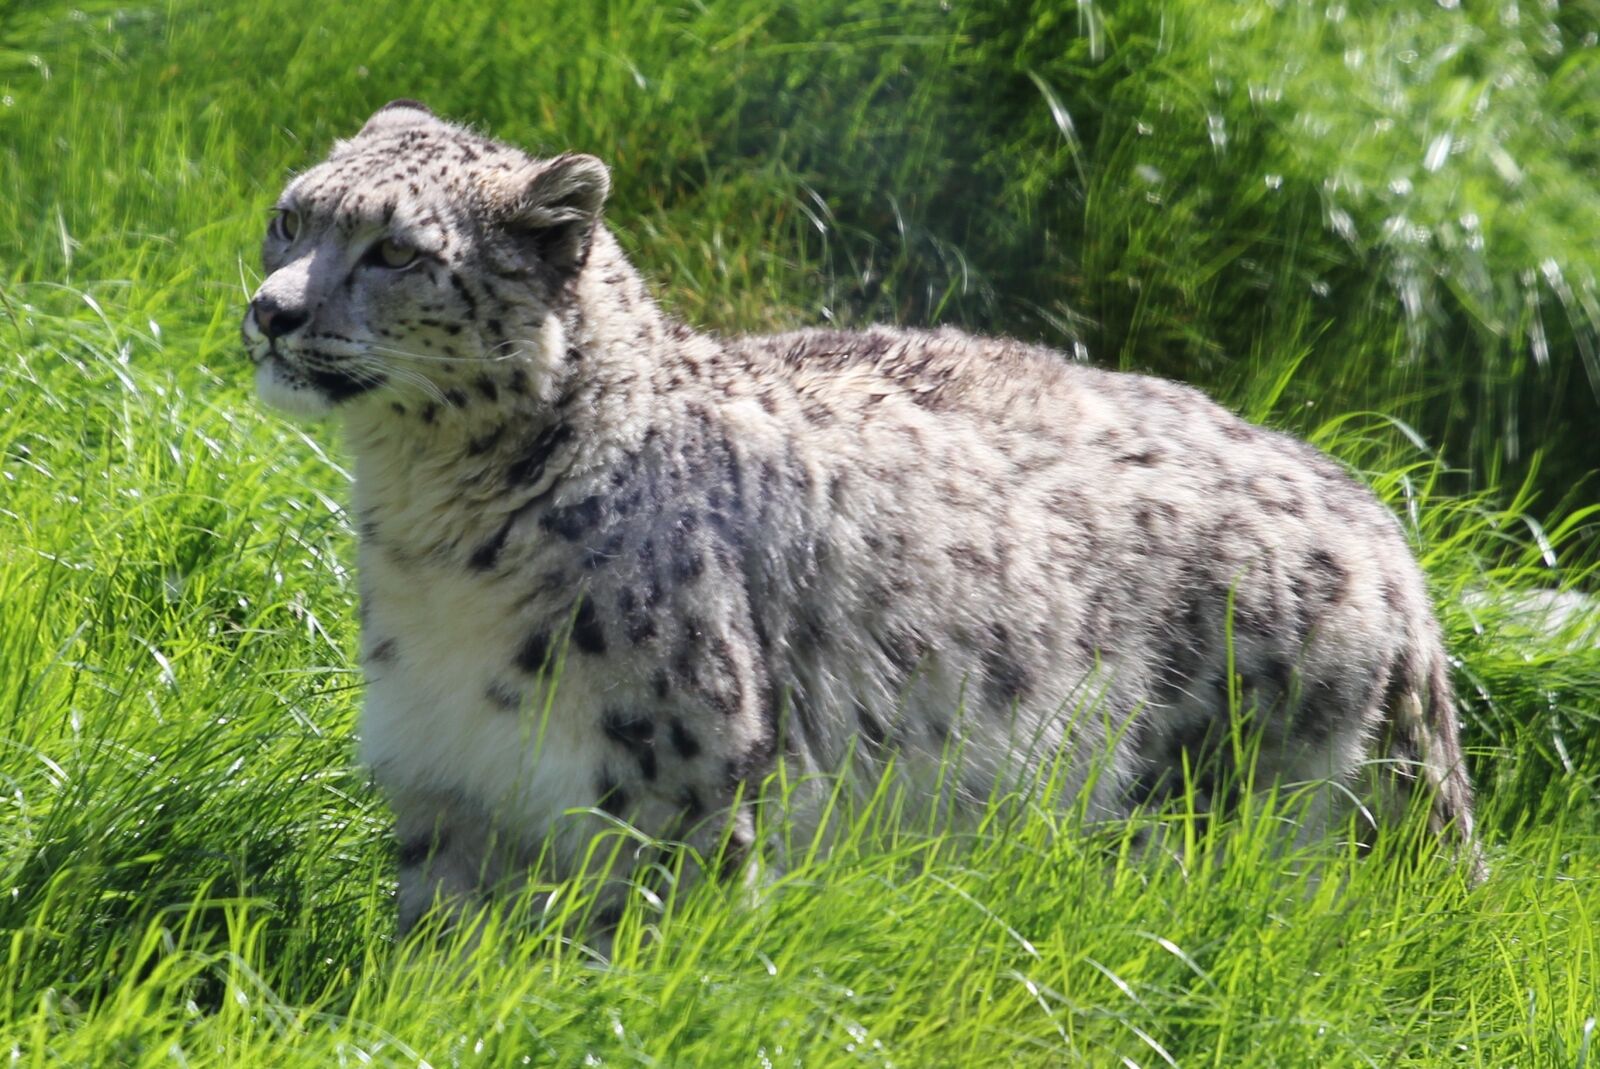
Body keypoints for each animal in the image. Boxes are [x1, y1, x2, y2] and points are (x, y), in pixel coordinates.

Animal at [242, 100, 1481, 936]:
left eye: (398, 250)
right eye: (290, 218)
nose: (269, 310)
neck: (432, 542)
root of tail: (1381, 526)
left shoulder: (671, 794)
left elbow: (626, 954)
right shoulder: (445, 782)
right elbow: (439, 954)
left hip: (1245, 802)